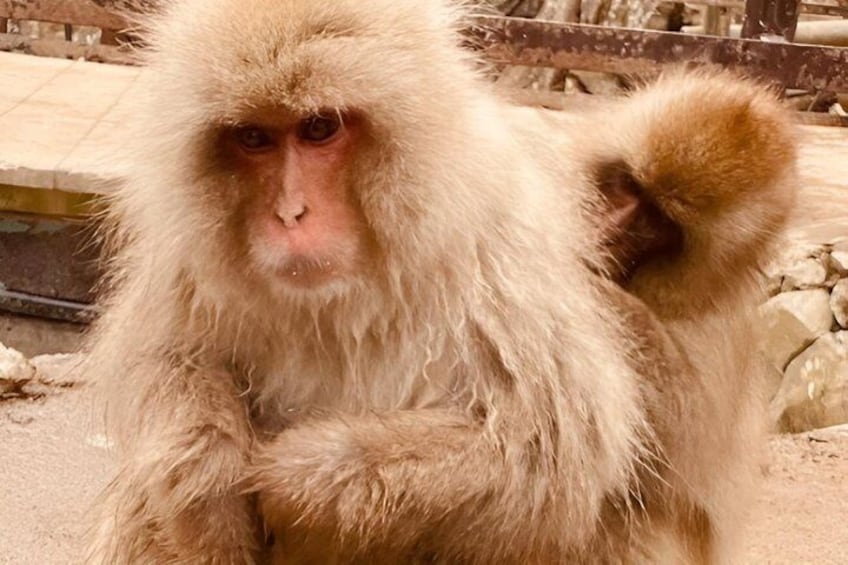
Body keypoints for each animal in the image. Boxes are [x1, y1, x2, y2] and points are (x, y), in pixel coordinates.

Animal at [82, 0, 797, 563]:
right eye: (254, 138)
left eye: (319, 128)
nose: (289, 214)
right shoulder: (187, 256)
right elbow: (171, 359)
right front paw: (211, 476)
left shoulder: (501, 250)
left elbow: (546, 444)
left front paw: (304, 474)